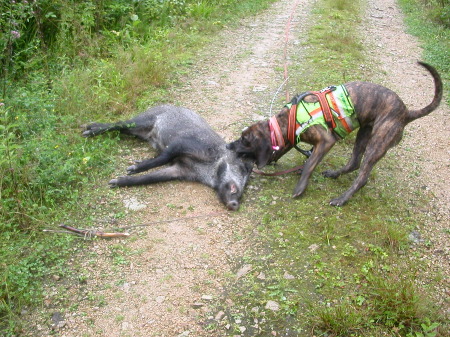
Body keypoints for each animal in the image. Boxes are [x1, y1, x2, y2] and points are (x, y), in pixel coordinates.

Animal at [229, 61, 442, 206]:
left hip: (378, 142)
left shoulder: (325, 141)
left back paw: (342, 198)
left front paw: (300, 186)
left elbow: (309, 165)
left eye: (244, 140)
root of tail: (406, 112)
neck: (287, 121)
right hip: (364, 133)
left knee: (362, 176)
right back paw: (334, 174)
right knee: (354, 162)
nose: (229, 145)